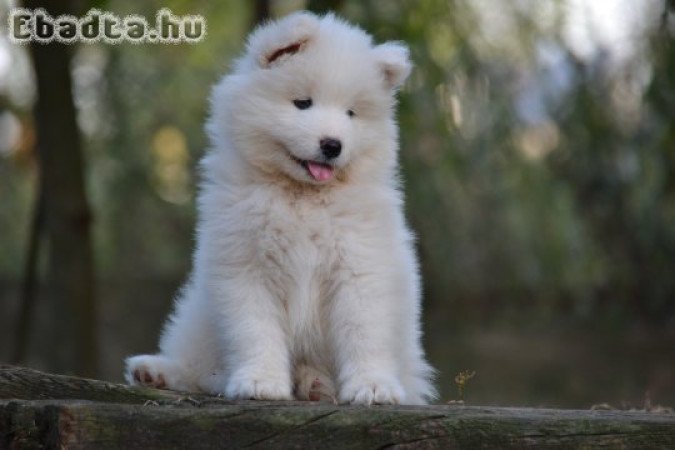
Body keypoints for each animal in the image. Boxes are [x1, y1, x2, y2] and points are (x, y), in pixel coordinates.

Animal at [124, 11, 436, 404]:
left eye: (351, 113)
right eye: (303, 103)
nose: (332, 145)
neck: (302, 196)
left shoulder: (360, 266)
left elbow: (363, 331)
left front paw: (373, 386)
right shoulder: (245, 265)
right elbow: (255, 330)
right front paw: (261, 382)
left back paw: (315, 383)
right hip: (199, 316)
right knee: (197, 366)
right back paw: (156, 371)